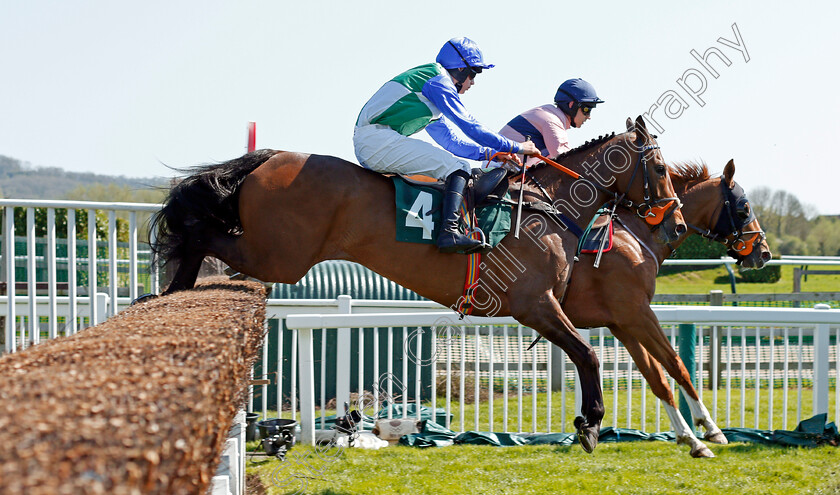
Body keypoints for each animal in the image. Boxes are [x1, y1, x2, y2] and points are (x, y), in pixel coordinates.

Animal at [153, 115, 688, 454]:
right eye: (661, 168)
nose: (676, 223)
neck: (545, 206)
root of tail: (269, 158)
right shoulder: (536, 304)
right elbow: (589, 355)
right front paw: (591, 424)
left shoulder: (569, 309)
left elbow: (615, 359)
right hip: (279, 256)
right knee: (199, 232)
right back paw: (172, 287)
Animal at [560, 159, 772, 458]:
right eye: (744, 208)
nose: (764, 252)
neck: (637, 237)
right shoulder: (638, 313)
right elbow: (676, 364)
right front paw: (708, 427)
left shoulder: (622, 322)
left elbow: (656, 377)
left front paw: (689, 437)